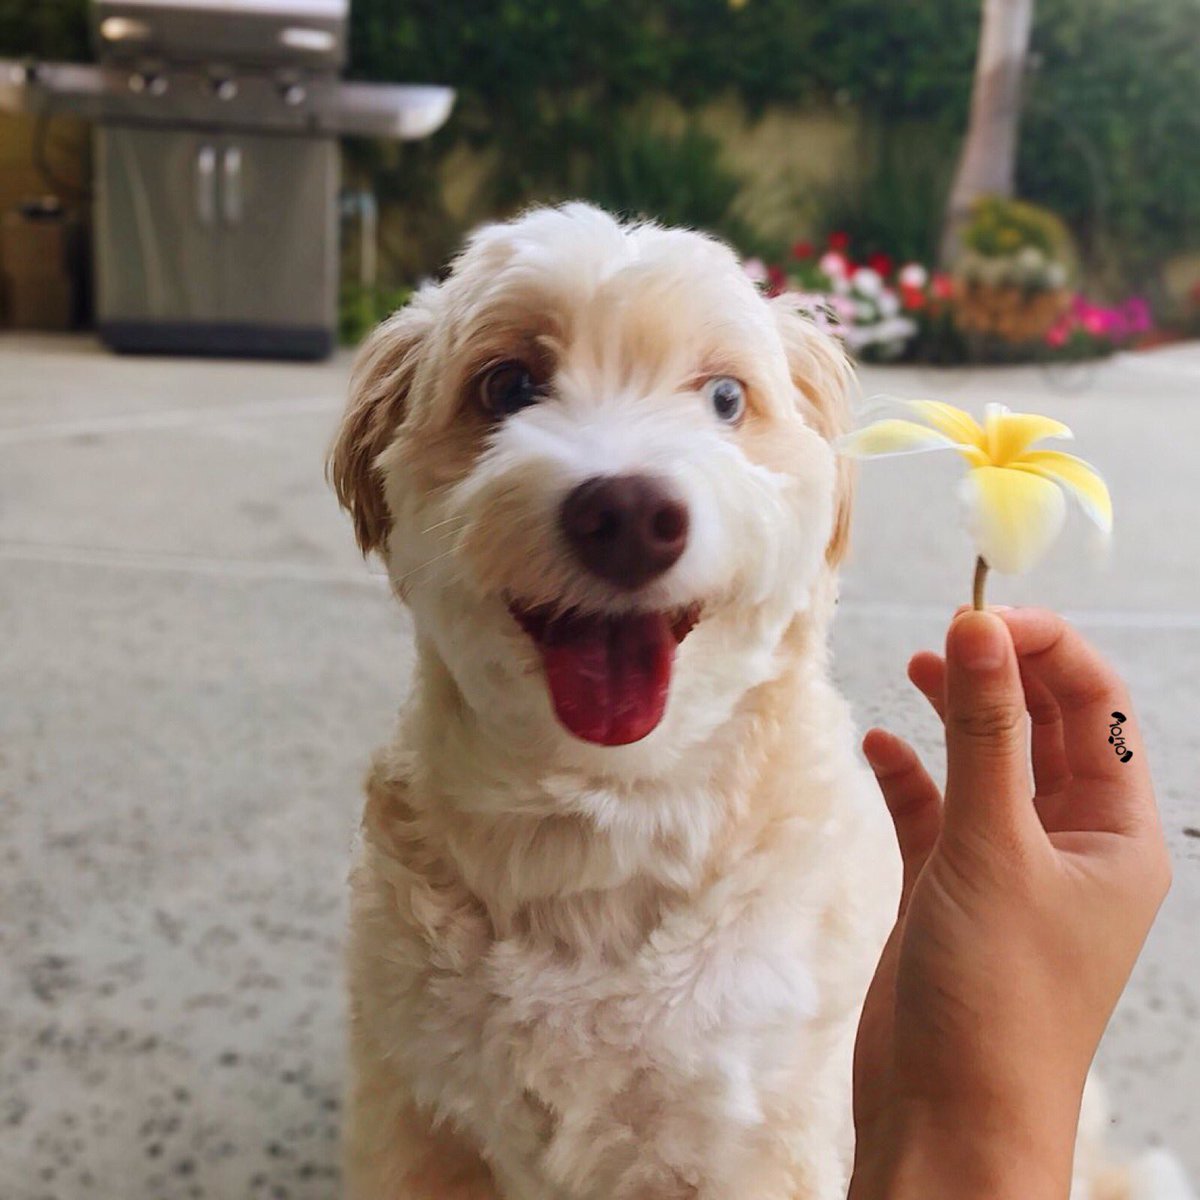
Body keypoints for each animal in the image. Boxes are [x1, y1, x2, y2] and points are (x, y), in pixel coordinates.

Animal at [328, 201, 902, 1195]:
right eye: (509, 385)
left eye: (724, 399)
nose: (629, 515)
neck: (601, 827)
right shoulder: (411, 1113)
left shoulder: (760, 1140)